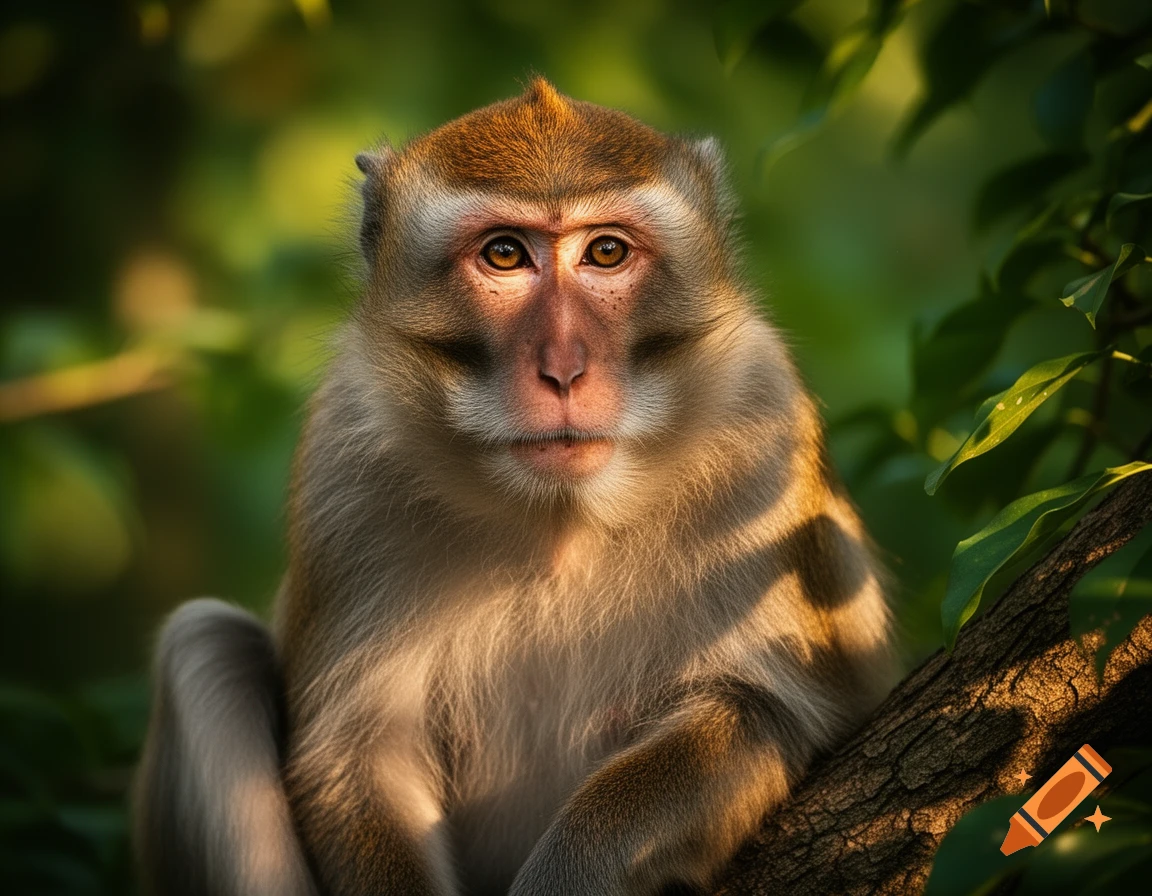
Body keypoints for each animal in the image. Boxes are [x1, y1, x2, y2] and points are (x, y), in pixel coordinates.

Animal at [133, 79, 892, 896]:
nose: (563, 367)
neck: (559, 520)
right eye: (504, 254)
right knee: (204, 646)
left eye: (606, 252)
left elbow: (757, 708)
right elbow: (356, 757)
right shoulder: (346, 460)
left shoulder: (764, 436)